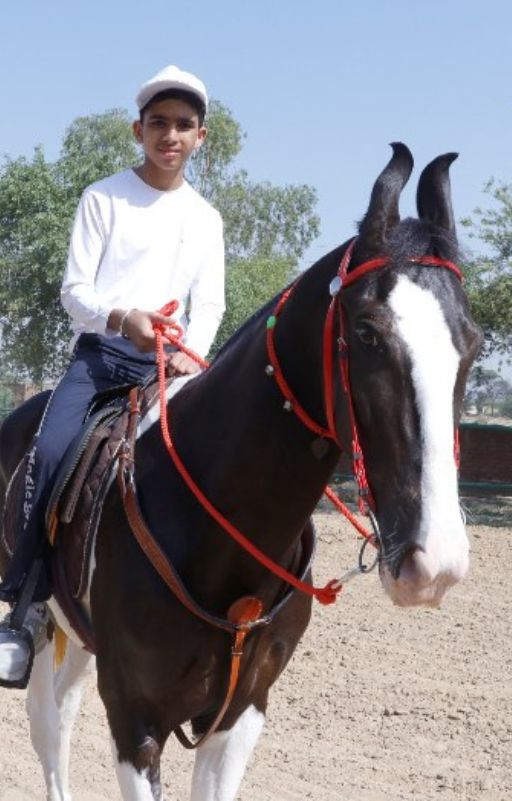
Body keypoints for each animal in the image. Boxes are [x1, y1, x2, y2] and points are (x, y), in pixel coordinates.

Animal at [0, 142, 482, 801]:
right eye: (366, 333)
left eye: (473, 343)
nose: (435, 563)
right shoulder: (135, 717)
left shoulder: (243, 713)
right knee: (49, 724)